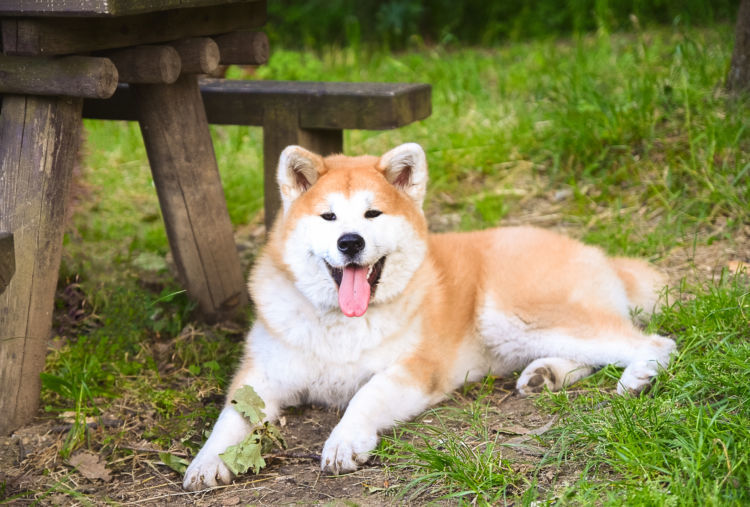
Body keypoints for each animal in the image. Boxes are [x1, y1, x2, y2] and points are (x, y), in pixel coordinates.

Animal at [182, 143, 676, 492]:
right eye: (328, 216)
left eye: (372, 213)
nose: (349, 241)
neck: (341, 323)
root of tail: (599, 254)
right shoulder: (261, 375)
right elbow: (230, 416)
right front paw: (206, 461)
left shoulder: (416, 368)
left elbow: (366, 395)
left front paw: (345, 439)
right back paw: (545, 375)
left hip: (510, 315)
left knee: (655, 343)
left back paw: (638, 378)